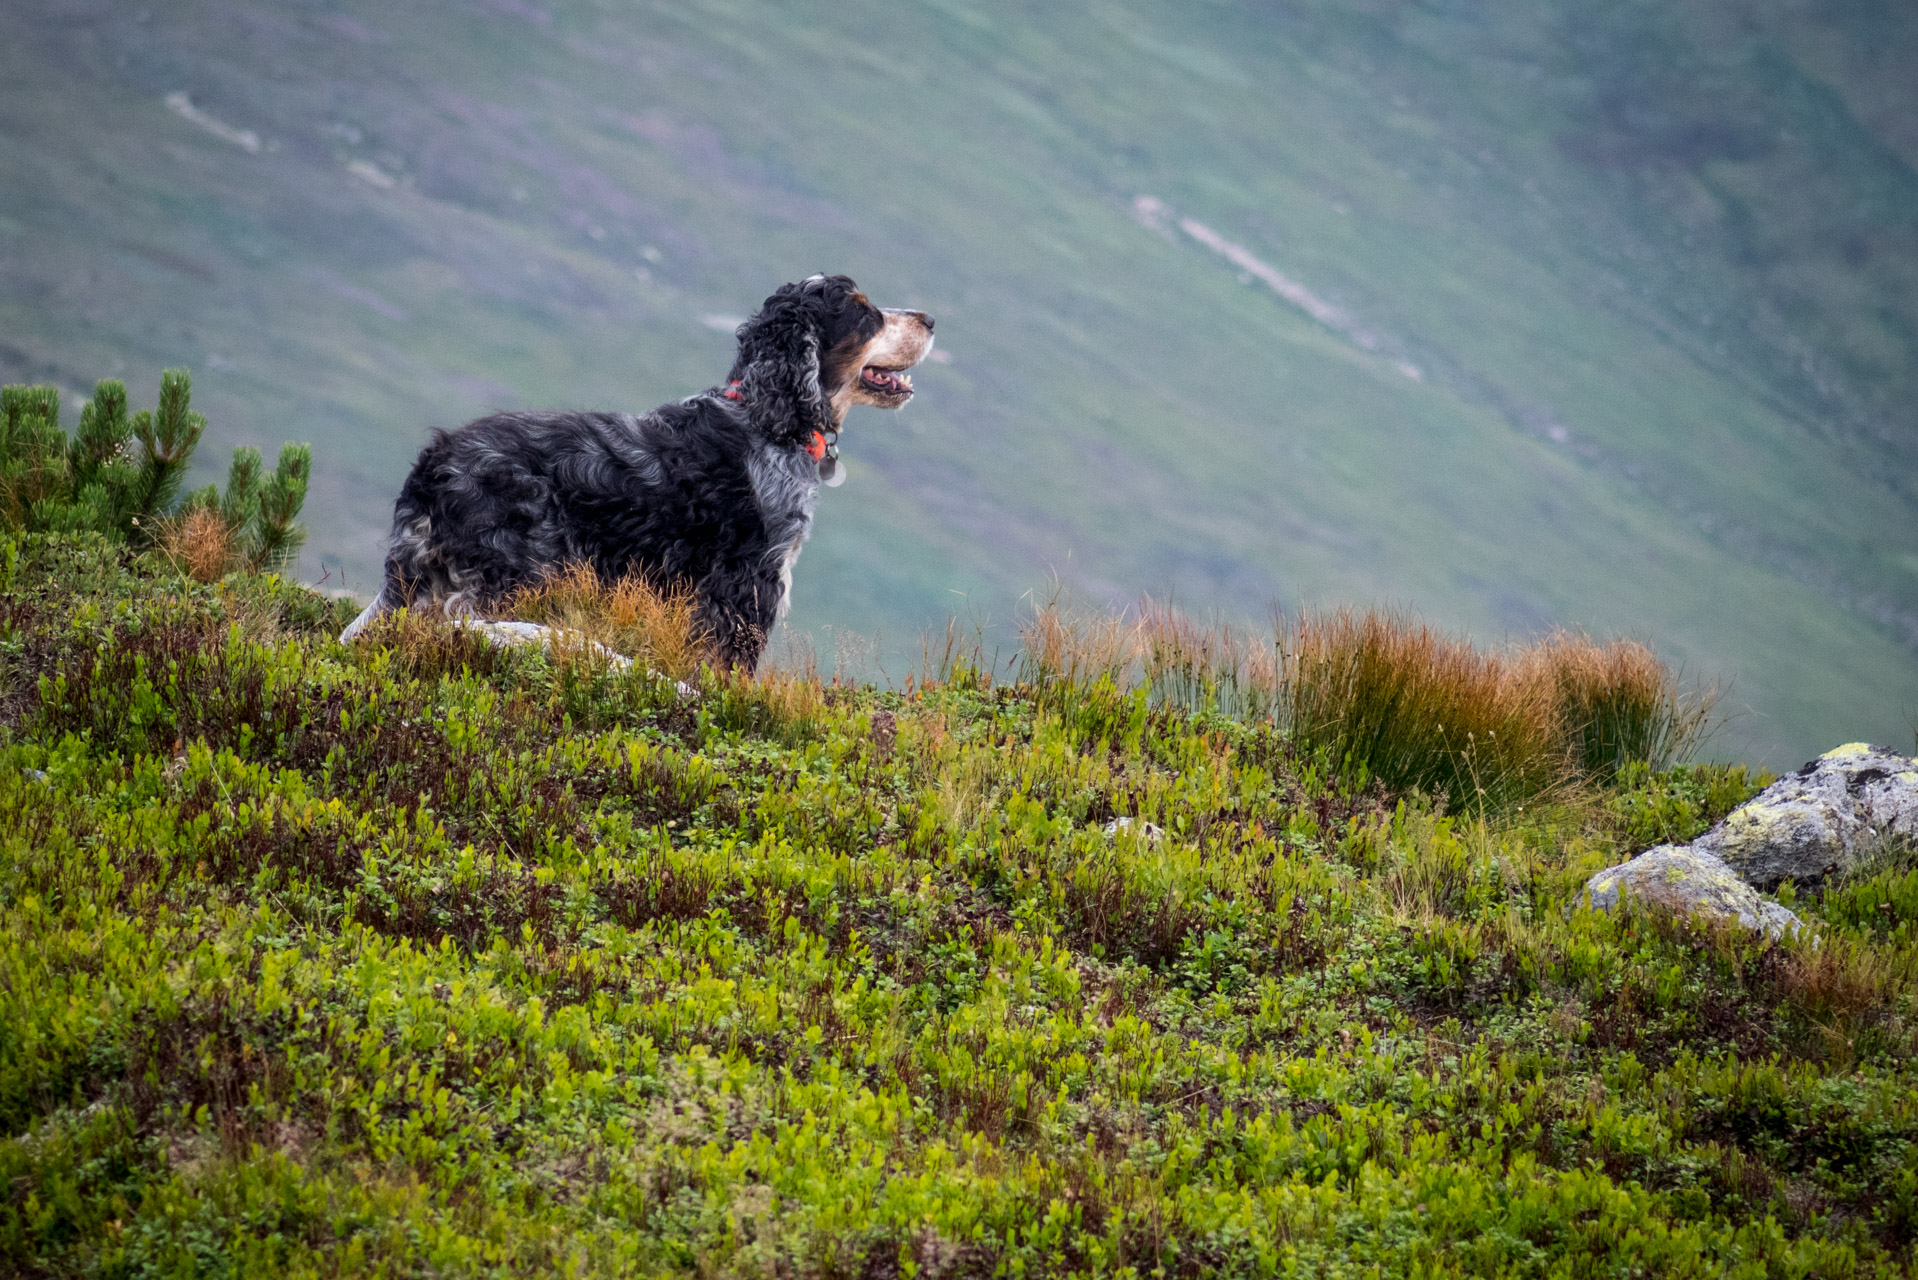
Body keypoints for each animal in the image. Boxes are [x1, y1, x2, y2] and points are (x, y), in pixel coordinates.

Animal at [349, 274, 939, 667]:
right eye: (864, 312)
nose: (931, 319)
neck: (765, 417)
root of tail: (434, 465)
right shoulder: (748, 583)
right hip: (517, 571)